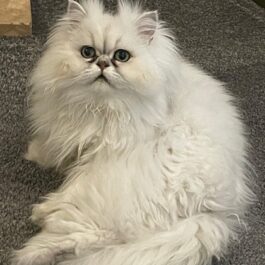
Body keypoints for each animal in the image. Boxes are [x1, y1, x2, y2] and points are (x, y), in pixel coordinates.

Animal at [11, 0, 252, 264]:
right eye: (87, 52)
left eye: (121, 56)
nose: (102, 63)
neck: (99, 106)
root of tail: (213, 212)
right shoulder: (74, 140)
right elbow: (54, 153)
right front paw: (35, 154)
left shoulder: (102, 153)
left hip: (107, 190)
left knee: (86, 232)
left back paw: (33, 240)